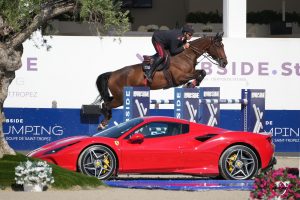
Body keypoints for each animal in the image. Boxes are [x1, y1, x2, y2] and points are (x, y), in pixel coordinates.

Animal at [95, 32, 226, 129]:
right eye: (219, 45)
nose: (225, 63)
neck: (186, 55)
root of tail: (112, 74)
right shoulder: (179, 78)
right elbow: (200, 73)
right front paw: (190, 85)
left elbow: (202, 72)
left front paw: (192, 84)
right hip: (121, 98)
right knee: (106, 105)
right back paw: (103, 124)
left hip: (118, 96)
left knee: (106, 102)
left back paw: (104, 122)